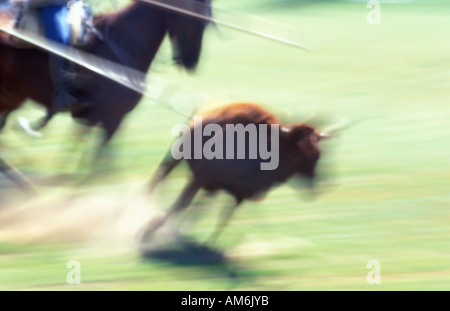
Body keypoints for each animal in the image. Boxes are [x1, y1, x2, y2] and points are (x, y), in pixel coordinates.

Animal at [0, 0, 212, 193]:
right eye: (195, 19)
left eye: (208, 21)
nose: (192, 62)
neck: (121, 45)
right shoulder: (111, 117)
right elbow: (99, 167)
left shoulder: (100, 118)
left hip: (11, 99)